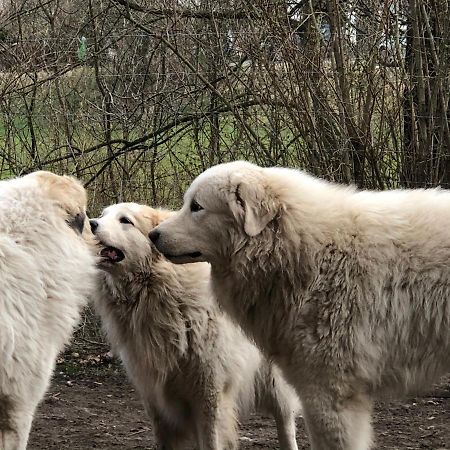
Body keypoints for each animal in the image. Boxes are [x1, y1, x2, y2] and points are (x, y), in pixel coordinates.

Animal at [90, 203, 300, 450]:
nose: (91, 223)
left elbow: (211, 440)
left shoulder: (208, 394)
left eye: (125, 221)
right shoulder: (155, 398)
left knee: (285, 422)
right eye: (103, 215)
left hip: (275, 382)